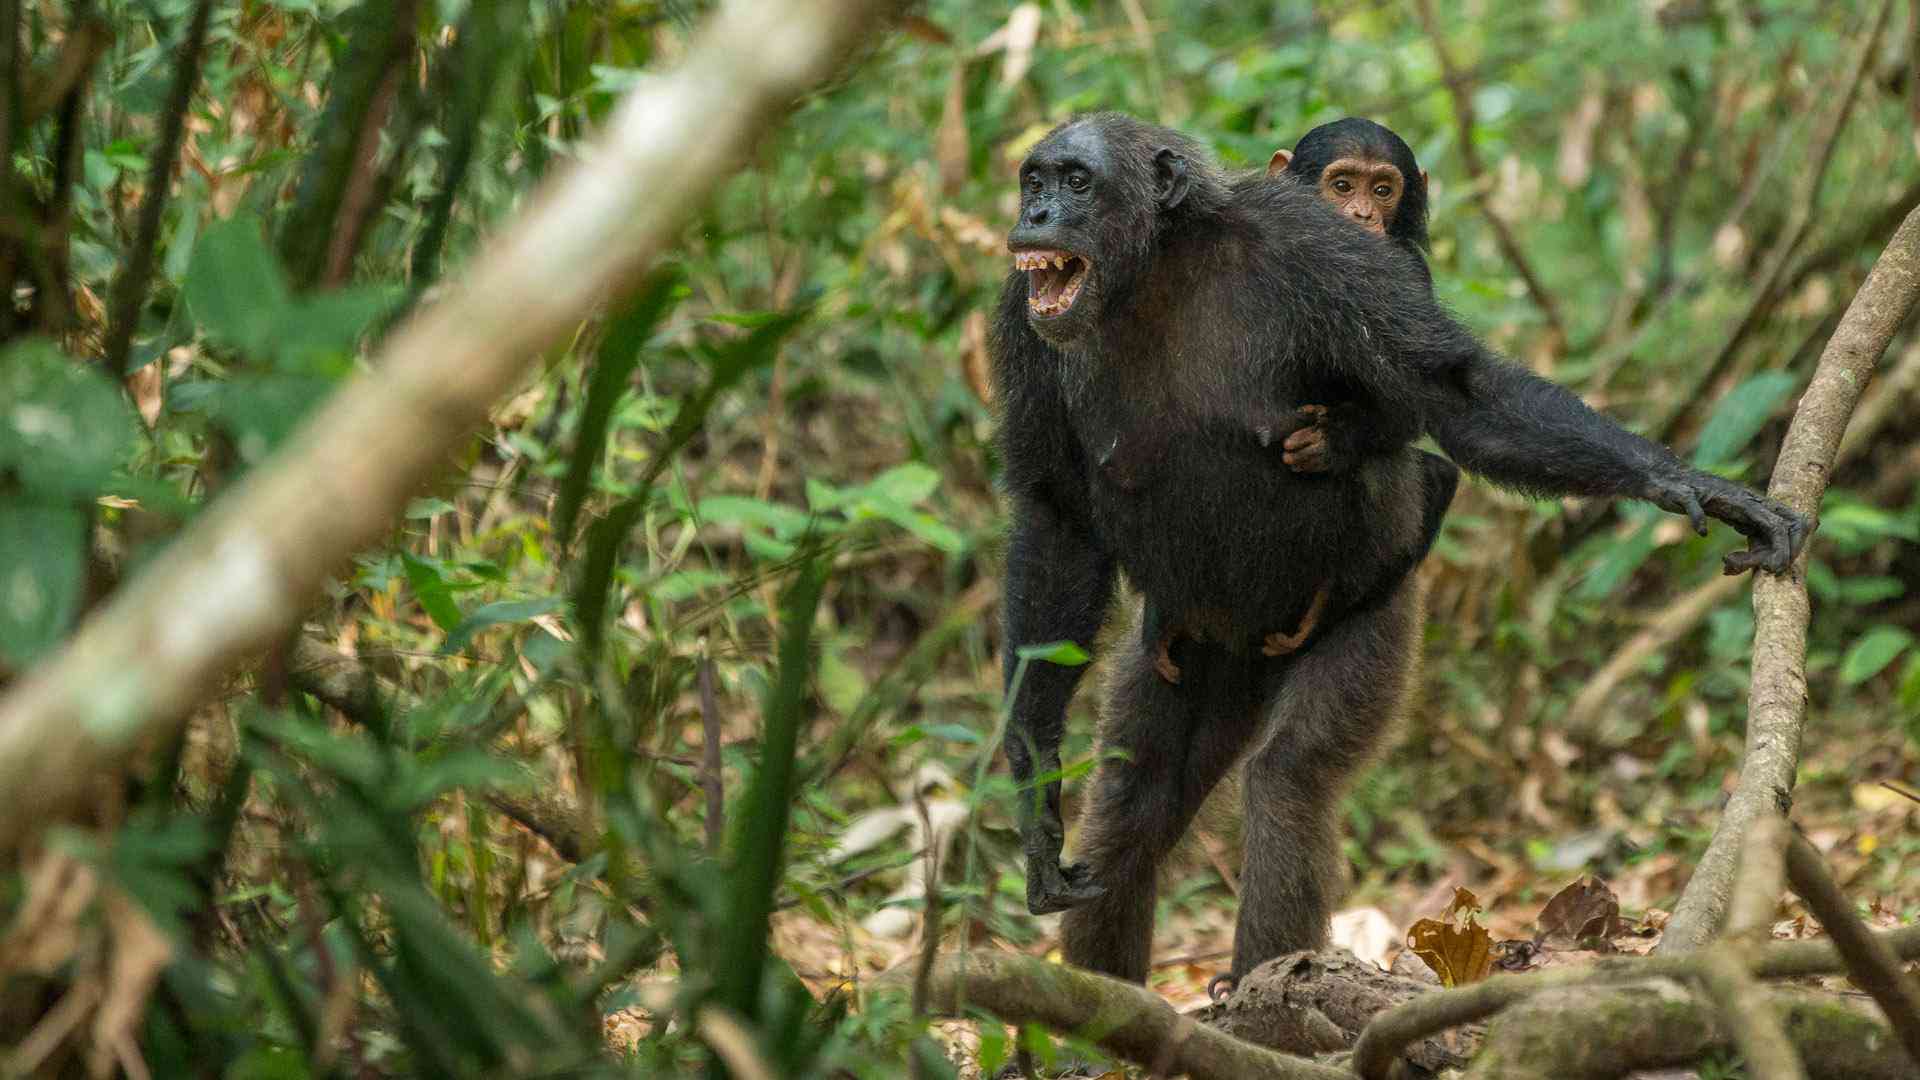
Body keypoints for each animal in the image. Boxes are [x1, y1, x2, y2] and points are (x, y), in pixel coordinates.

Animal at [998, 113, 1804, 991]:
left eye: (1078, 182)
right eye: (1036, 179)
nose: (1038, 214)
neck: (1154, 269)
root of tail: (1250, 648)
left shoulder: (1325, 258)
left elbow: (1457, 392)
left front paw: (1687, 481)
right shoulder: (1019, 320)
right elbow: (1057, 523)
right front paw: (1034, 807)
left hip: (1367, 614)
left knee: (1290, 780)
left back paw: (1268, 991)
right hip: (1185, 653)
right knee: (1134, 804)